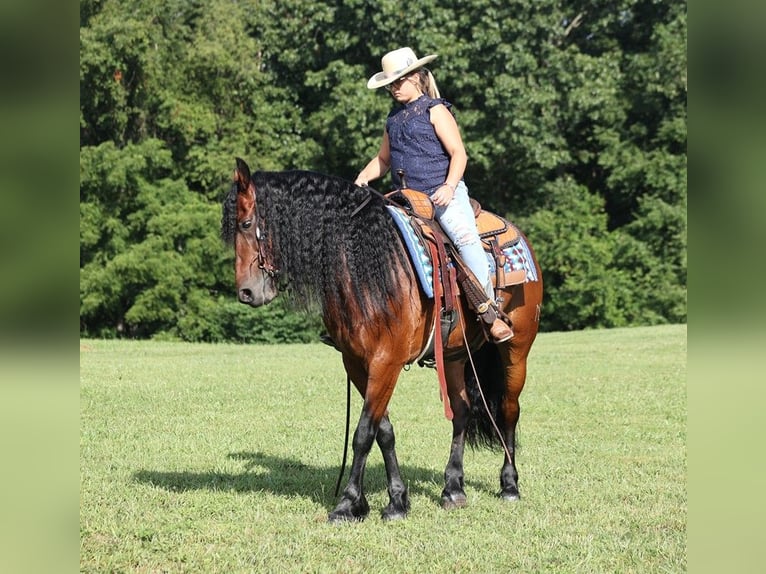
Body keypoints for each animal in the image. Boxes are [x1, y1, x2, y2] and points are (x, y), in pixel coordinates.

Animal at [222, 159, 544, 528]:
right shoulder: (357, 364)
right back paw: (453, 487)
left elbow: (363, 433)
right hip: (453, 356)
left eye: (246, 223)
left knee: (508, 409)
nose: (246, 293)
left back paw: (509, 484)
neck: (365, 268)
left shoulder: (385, 361)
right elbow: (383, 430)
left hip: (516, 351)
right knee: (461, 412)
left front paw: (348, 503)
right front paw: (396, 501)